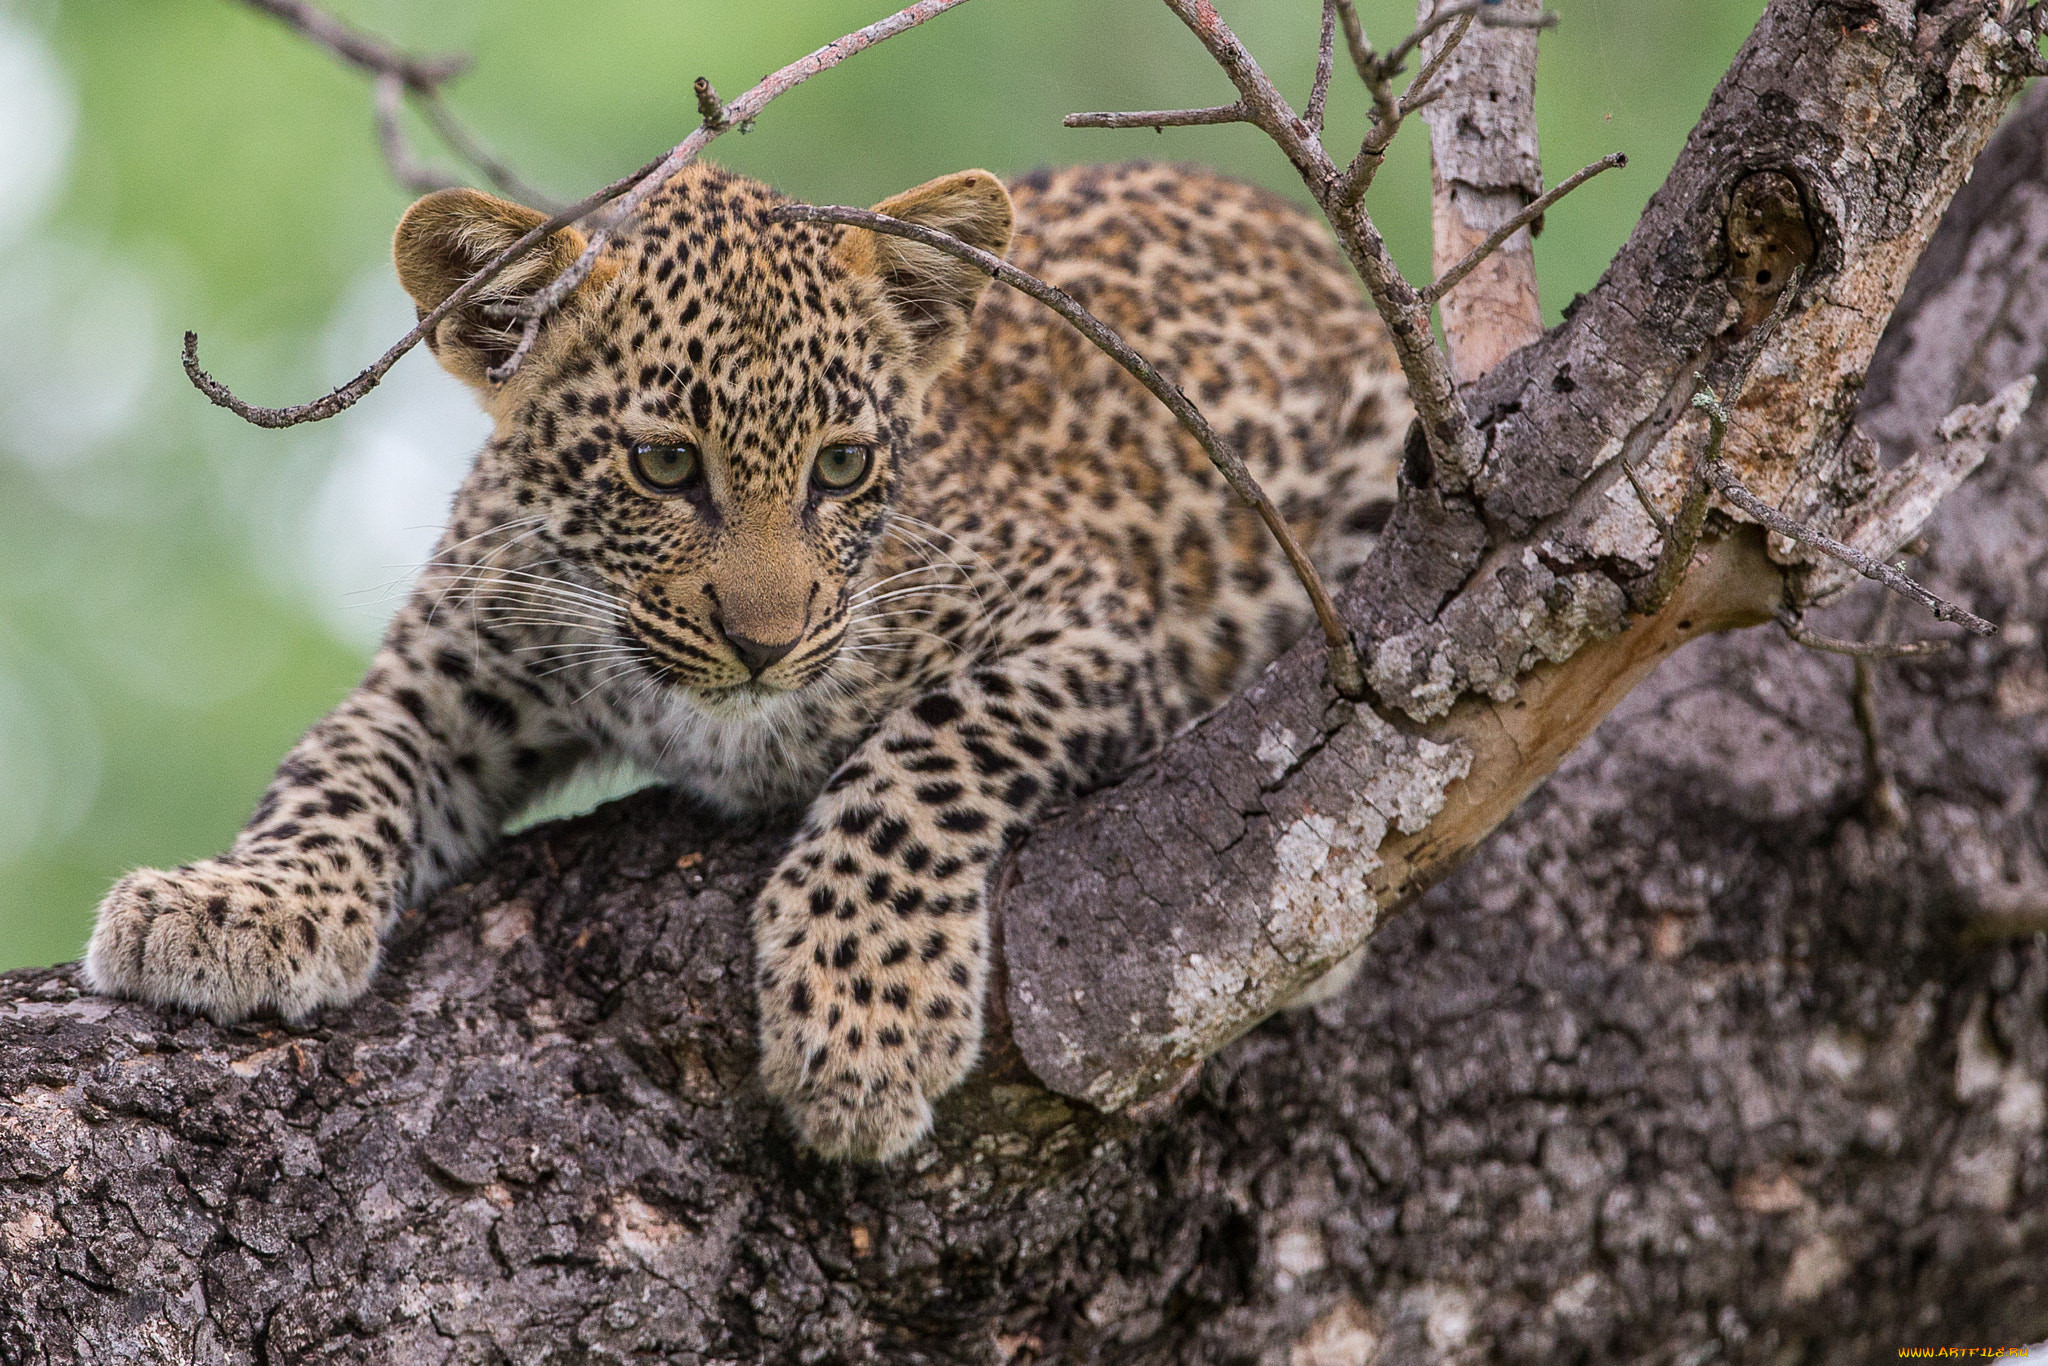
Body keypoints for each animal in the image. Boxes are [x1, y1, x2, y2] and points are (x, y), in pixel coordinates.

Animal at [88, 162, 1417, 1163]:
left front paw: (864, 1015)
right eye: (665, 465)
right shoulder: (446, 665)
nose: (765, 644)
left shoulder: (1084, 619)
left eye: (842, 466)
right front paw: (239, 902)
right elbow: (339, 763)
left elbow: (927, 757)